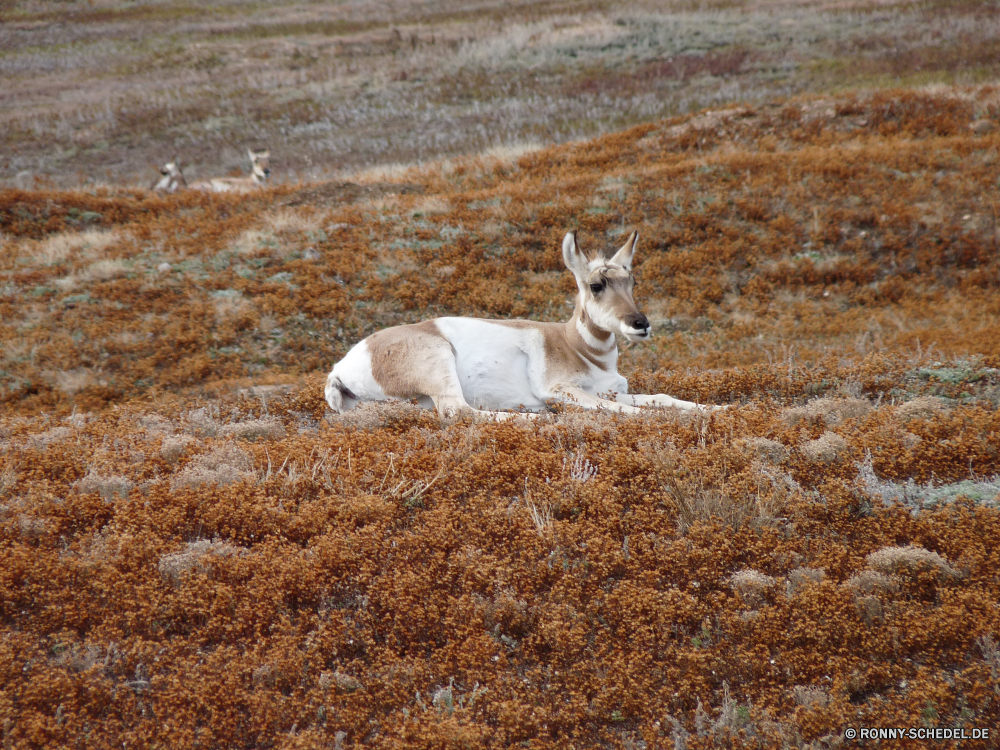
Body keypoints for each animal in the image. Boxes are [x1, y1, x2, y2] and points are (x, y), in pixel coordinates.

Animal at [324, 229, 724, 420]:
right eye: (596, 285)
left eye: (631, 280)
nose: (640, 324)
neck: (574, 345)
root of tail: (341, 367)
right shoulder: (562, 390)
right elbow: (625, 409)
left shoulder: (613, 389)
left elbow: (661, 398)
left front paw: (722, 410)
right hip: (438, 361)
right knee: (459, 412)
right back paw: (537, 419)